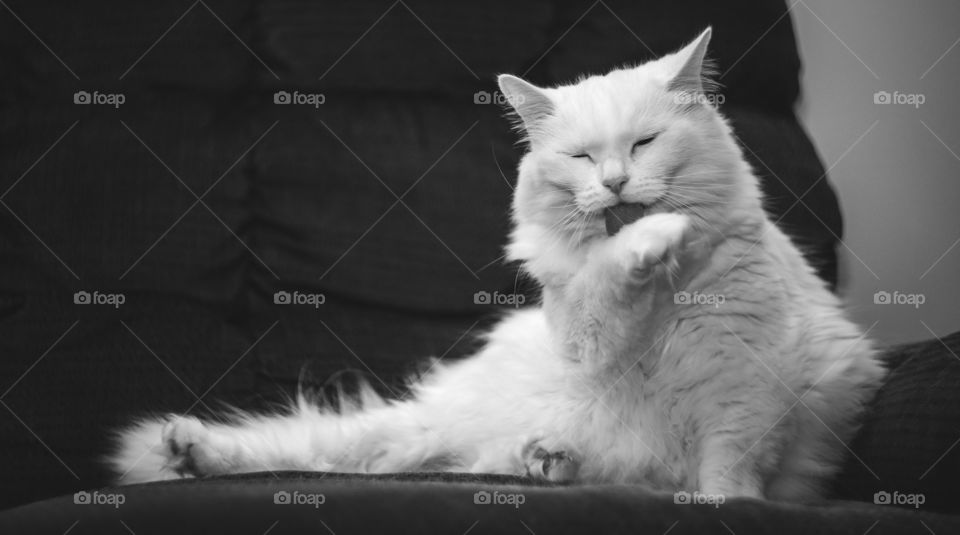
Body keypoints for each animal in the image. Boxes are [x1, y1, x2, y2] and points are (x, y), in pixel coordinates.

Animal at [110, 29, 884, 502]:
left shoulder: (746, 392)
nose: (614, 182)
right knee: (326, 451)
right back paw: (186, 451)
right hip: (422, 429)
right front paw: (645, 240)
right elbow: (605, 280)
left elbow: (727, 477)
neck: (663, 309)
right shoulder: (588, 338)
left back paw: (547, 459)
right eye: (581, 157)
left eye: (643, 144)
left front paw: (723, 505)